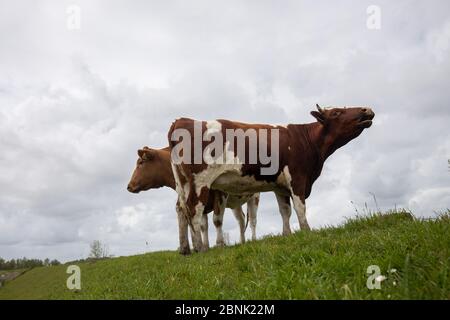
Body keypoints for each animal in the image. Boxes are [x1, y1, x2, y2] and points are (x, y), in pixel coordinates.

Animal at [126, 146, 260, 251]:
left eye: (141, 163)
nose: (129, 186)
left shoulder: (220, 195)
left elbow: (217, 221)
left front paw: (220, 244)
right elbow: (202, 226)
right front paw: (205, 247)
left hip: (254, 196)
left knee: (253, 220)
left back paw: (254, 239)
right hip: (235, 204)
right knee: (241, 219)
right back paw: (242, 241)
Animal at [167, 104, 374, 254]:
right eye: (337, 112)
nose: (366, 110)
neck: (304, 139)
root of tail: (182, 121)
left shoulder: (279, 187)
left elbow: (285, 211)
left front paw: (287, 235)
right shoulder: (298, 178)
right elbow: (300, 208)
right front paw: (306, 232)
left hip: (183, 183)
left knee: (181, 209)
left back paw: (185, 248)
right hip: (200, 182)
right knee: (194, 210)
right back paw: (199, 248)